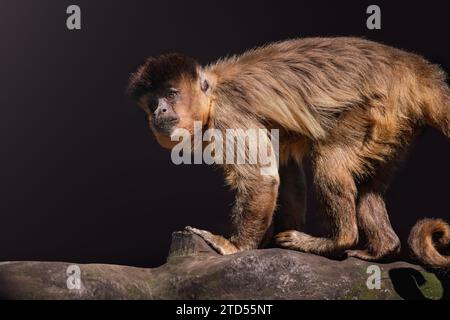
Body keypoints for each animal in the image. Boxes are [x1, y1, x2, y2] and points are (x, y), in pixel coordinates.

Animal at [128, 37, 450, 268]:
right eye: (153, 102)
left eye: (171, 94)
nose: (159, 111)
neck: (214, 93)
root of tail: (413, 69)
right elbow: (287, 174)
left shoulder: (228, 112)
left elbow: (262, 178)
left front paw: (236, 247)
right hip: (394, 126)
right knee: (368, 183)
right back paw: (382, 248)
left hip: (381, 107)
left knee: (329, 160)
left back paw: (338, 240)